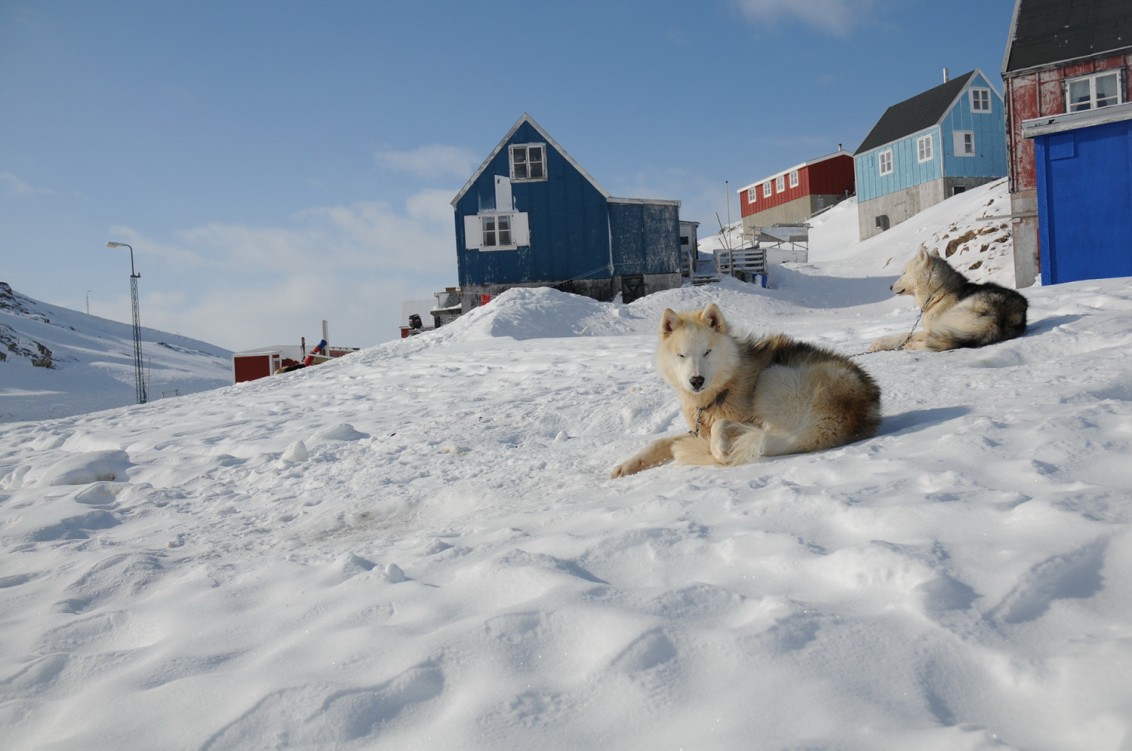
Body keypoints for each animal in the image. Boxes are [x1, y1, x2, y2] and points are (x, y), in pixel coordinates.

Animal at [611, 303, 882, 478]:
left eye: (707, 352)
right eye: (681, 355)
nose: (696, 380)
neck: (725, 387)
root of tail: (849, 415)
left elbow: (717, 429)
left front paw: (718, 448)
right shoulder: (698, 429)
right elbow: (659, 442)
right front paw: (628, 465)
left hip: (771, 377)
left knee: (752, 431)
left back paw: (724, 445)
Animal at [864, 246, 1027, 353]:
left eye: (904, 273)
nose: (890, 287)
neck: (938, 294)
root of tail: (1000, 316)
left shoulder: (930, 328)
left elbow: (903, 336)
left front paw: (879, 343)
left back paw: (911, 346)